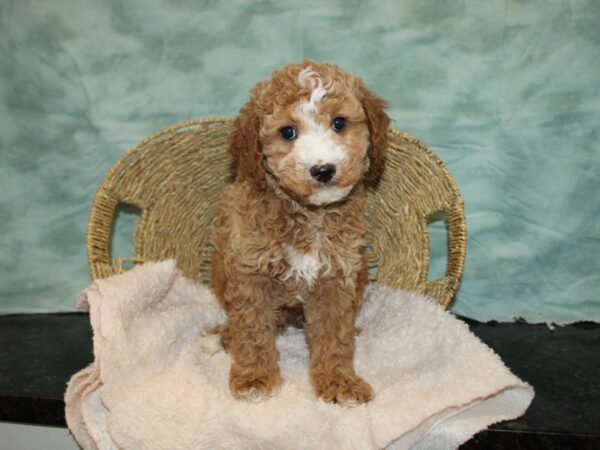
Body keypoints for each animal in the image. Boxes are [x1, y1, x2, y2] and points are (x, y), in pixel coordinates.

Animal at [211, 58, 390, 406]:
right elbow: (252, 328)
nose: (323, 170)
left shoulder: (337, 274)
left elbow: (334, 334)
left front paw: (338, 380)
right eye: (287, 132)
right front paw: (254, 377)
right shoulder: (249, 271)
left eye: (339, 123)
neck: (307, 215)